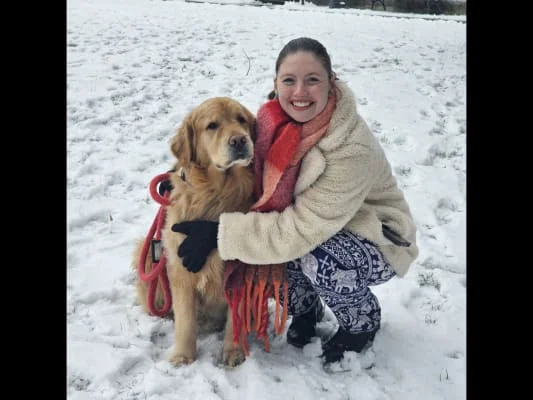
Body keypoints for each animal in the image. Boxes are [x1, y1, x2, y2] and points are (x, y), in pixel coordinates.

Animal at [132, 97, 256, 367]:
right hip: (147, 256)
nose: (240, 140)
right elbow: (186, 321)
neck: (217, 192)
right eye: (212, 125)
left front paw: (233, 352)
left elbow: (236, 319)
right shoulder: (181, 269)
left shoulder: (242, 271)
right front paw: (183, 356)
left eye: (241, 120)